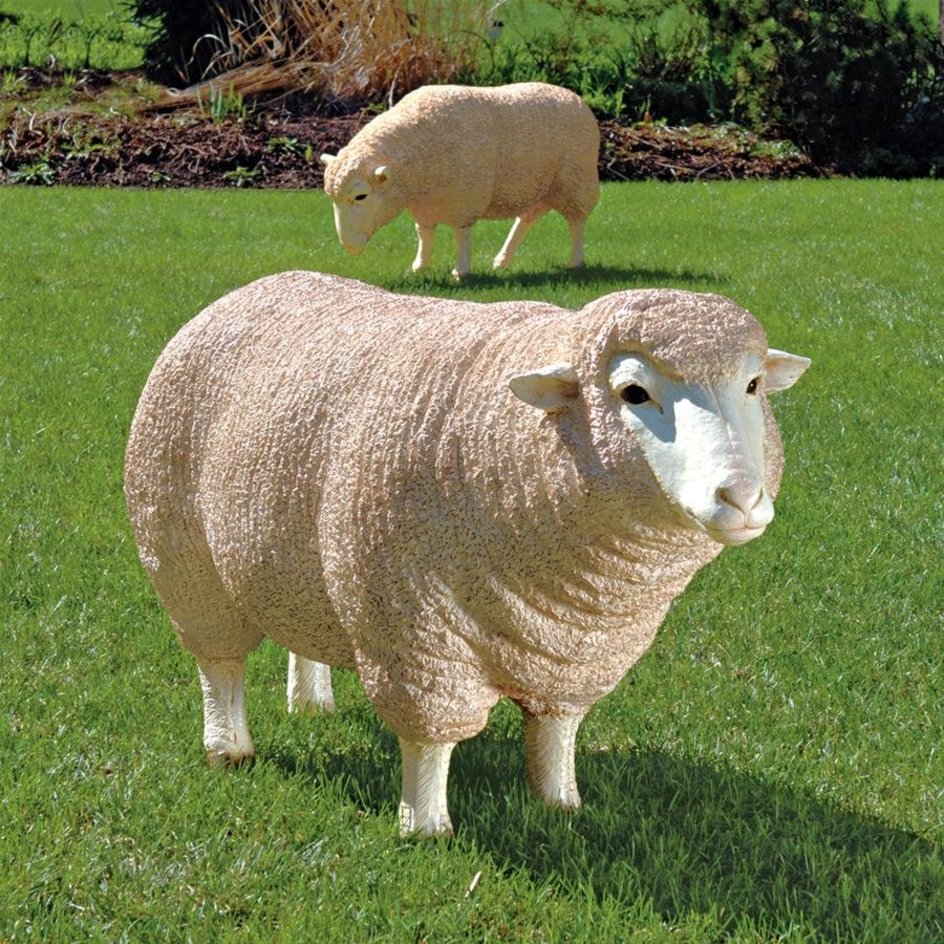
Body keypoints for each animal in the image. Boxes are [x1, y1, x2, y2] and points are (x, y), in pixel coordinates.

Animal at [124, 271, 810, 837]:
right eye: (633, 392)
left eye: (752, 385)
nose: (742, 498)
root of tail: (249, 288)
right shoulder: (413, 630)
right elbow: (430, 742)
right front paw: (425, 827)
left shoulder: (577, 647)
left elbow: (557, 729)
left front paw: (560, 802)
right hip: (183, 558)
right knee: (219, 666)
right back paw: (229, 747)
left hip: (291, 554)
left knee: (299, 629)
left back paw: (311, 702)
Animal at [319, 82, 600, 279]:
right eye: (330, 198)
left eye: (361, 196)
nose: (349, 246)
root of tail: (575, 98)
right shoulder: (425, 202)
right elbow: (424, 232)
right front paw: (419, 266)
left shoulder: (465, 198)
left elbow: (461, 234)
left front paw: (460, 271)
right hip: (539, 185)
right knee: (527, 217)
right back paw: (502, 260)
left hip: (577, 181)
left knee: (577, 222)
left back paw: (575, 262)